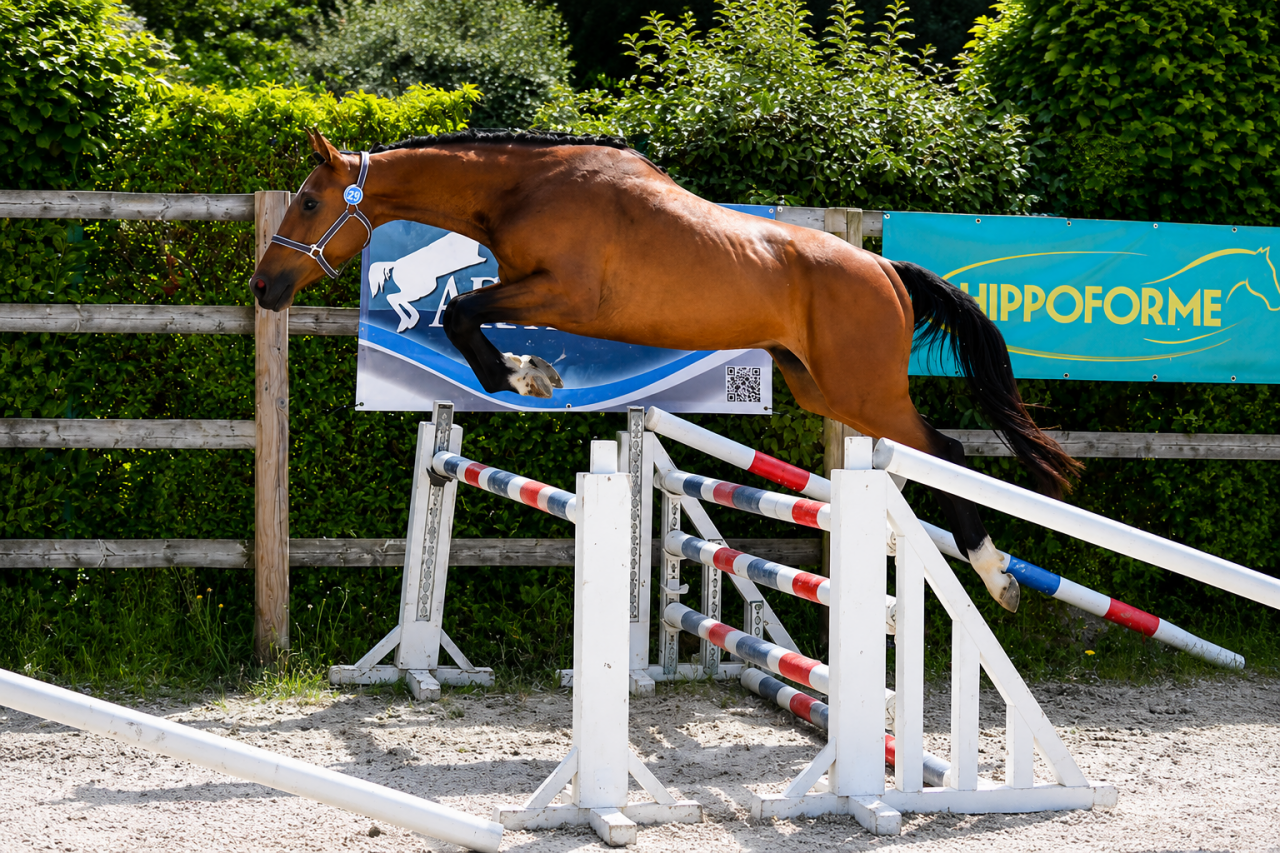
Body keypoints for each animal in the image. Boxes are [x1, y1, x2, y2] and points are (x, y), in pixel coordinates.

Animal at [249, 128, 1081, 612]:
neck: (528, 186)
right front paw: (527, 369)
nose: (263, 287)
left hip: (864, 389)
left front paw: (522, 375)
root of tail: (884, 269)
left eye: (309, 201)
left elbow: (461, 313)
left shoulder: (564, 294)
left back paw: (997, 574)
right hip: (822, 385)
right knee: (913, 456)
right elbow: (470, 315)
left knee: (948, 450)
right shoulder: (535, 291)